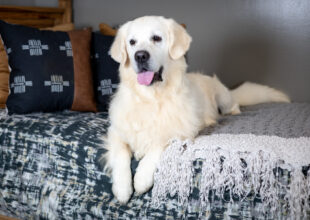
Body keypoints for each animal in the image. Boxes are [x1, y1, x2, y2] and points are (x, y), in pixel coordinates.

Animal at [104, 15, 290, 203]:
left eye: (156, 38)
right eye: (132, 42)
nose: (140, 56)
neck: (150, 98)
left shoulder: (179, 131)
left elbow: (157, 146)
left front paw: (141, 178)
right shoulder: (116, 131)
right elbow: (120, 154)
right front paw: (122, 189)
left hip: (223, 97)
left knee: (234, 105)